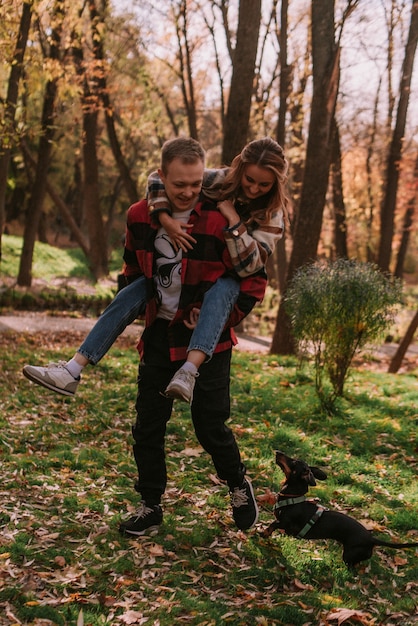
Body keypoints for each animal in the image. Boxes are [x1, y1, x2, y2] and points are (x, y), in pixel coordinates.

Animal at [264, 448, 418, 564]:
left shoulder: (286, 523)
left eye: (293, 461)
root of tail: (371, 539)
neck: (292, 497)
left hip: (349, 555)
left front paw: (263, 533)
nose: (277, 452)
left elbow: (273, 524)